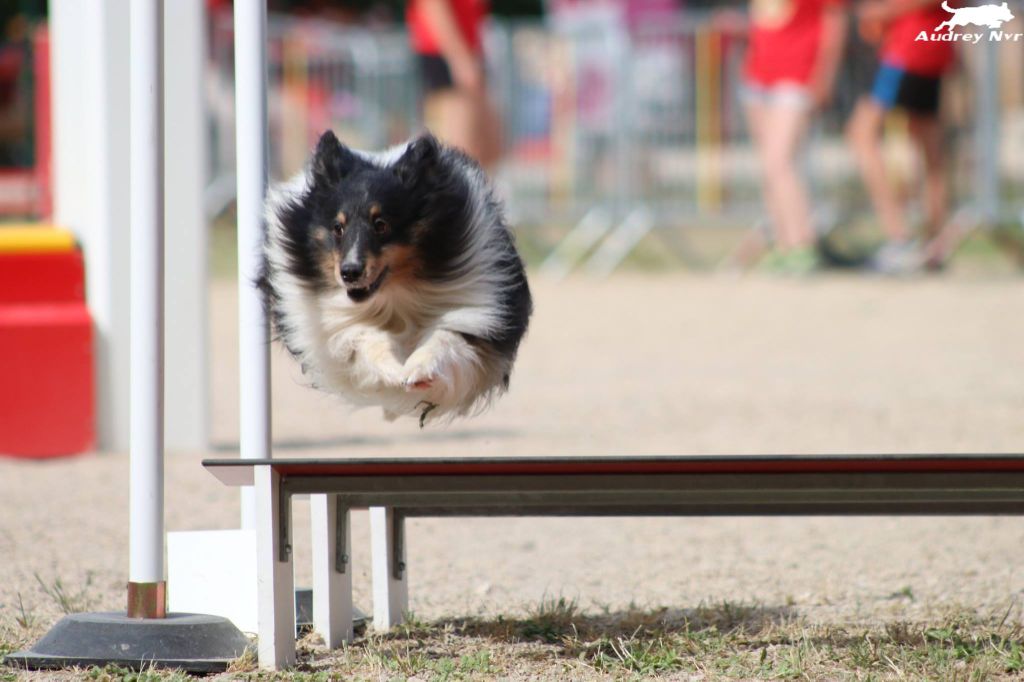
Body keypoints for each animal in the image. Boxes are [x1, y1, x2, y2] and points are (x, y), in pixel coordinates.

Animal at [258, 130, 536, 421]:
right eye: (337, 227)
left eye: (381, 225)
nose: (349, 272)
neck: (394, 297)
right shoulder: (336, 330)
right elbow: (365, 339)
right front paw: (394, 369)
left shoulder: (475, 312)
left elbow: (446, 337)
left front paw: (418, 369)